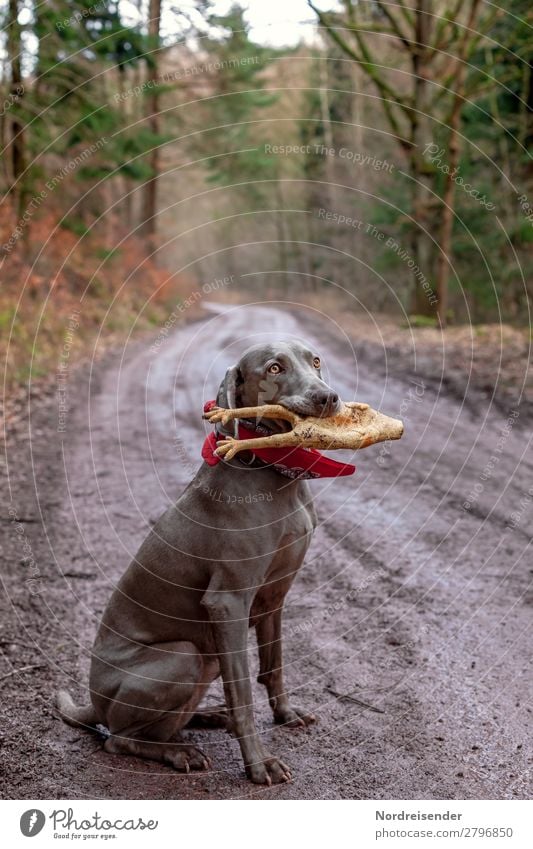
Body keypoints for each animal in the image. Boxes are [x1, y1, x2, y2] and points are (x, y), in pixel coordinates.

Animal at [57, 342, 340, 784]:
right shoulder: (228, 602)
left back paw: (208, 718)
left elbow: (273, 665)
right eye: (274, 368)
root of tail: (92, 701)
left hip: (206, 661)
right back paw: (180, 753)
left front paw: (285, 714)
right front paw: (259, 764)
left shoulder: (274, 596)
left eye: (315, 361)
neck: (272, 472)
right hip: (184, 656)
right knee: (117, 739)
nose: (328, 397)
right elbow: (242, 690)